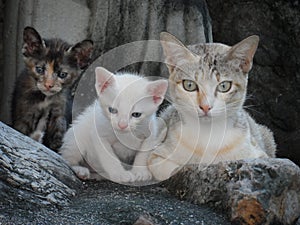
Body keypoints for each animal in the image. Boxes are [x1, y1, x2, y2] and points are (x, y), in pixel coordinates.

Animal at [148, 31, 276, 181]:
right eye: (189, 85)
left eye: (224, 86)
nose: (205, 106)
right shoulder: (156, 156)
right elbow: (168, 169)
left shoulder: (260, 155)